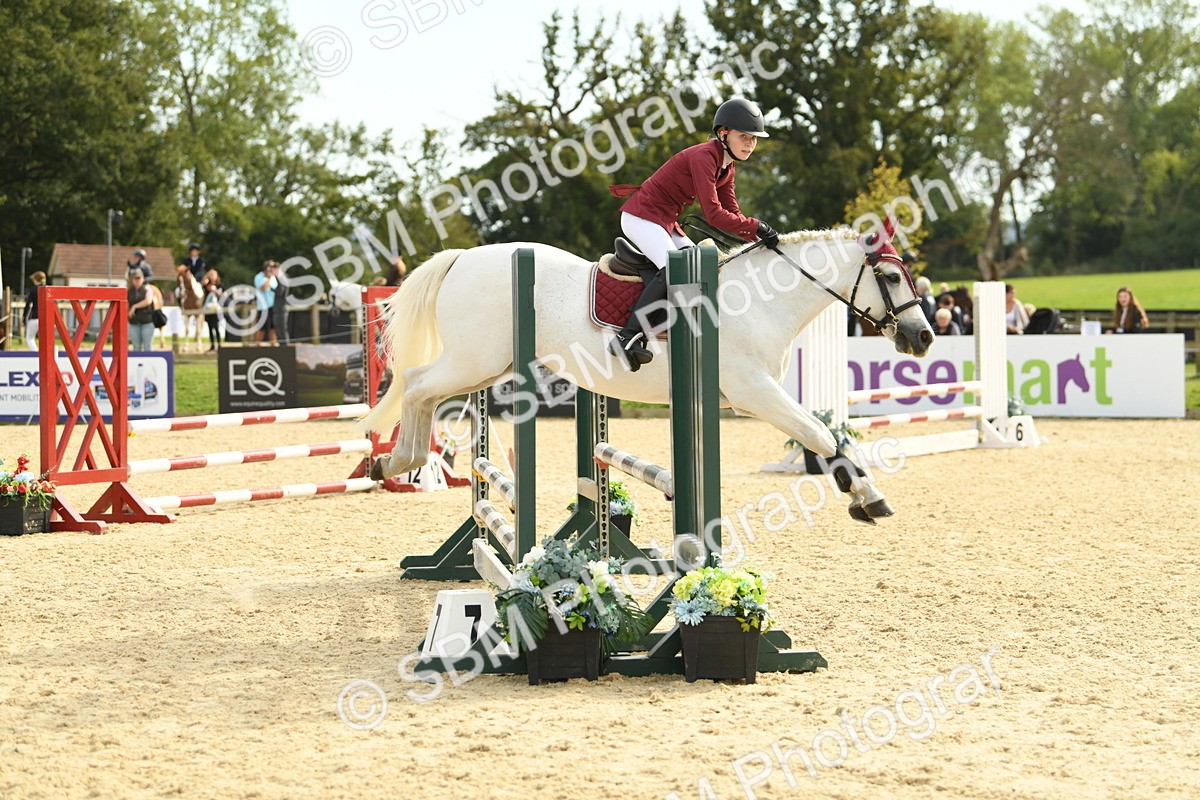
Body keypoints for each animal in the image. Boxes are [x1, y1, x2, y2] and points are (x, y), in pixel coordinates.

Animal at [360, 229, 935, 523]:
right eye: (889, 277)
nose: (924, 337)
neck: (763, 296)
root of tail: (460, 259)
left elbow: (823, 434)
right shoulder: (754, 392)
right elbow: (821, 434)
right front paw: (866, 495)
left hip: (483, 364)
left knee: (423, 395)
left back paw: (393, 462)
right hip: (474, 360)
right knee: (417, 385)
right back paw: (397, 461)